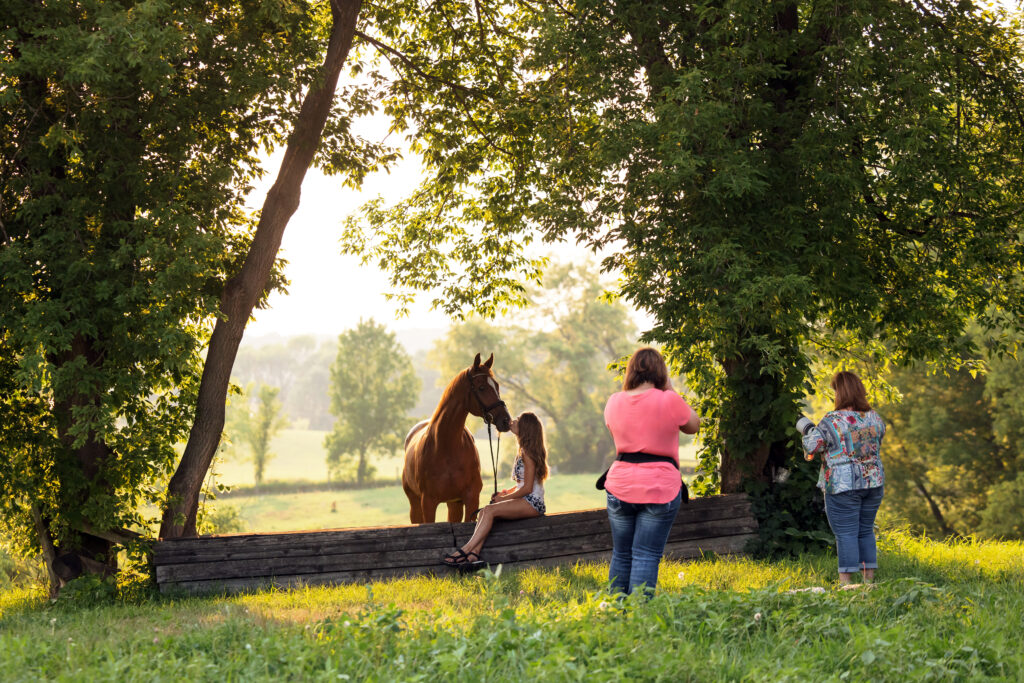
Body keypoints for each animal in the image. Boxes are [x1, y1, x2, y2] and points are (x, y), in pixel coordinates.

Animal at [399, 352, 512, 524]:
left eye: (497, 386)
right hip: (415, 504)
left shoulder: (471, 498)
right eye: (481, 387)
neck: (446, 447)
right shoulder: (428, 502)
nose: (506, 421)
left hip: (454, 504)